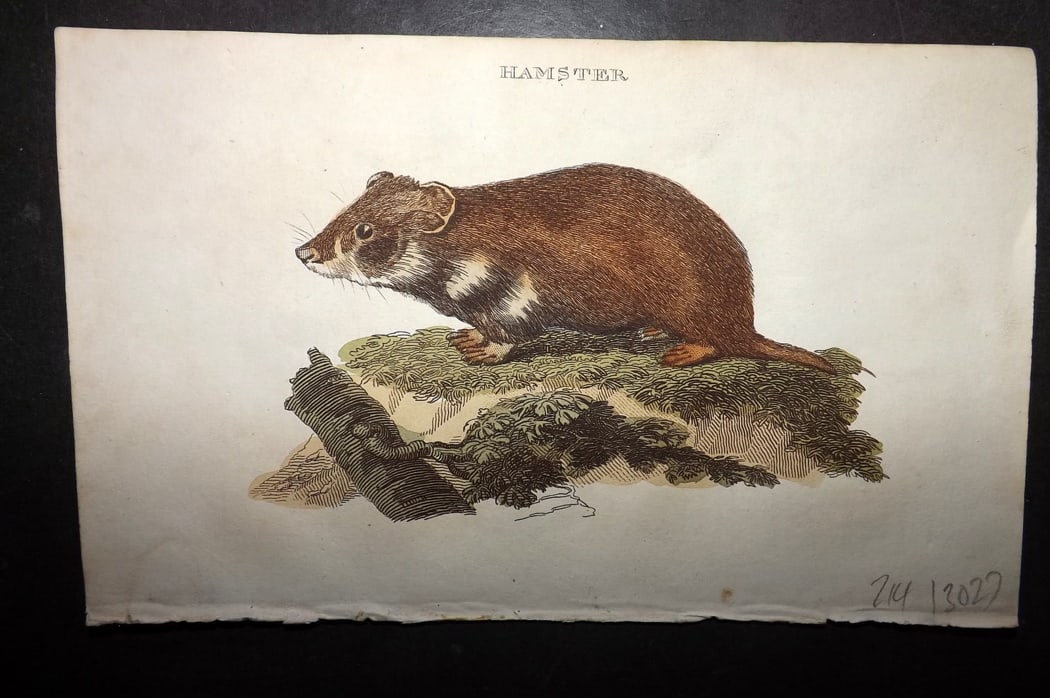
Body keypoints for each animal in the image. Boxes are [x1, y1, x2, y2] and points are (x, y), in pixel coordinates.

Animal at [295, 163, 834, 373]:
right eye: (344, 210)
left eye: (364, 230)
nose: (305, 252)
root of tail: (744, 318)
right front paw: (464, 336)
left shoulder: (514, 297)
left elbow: (508, 336)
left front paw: (481, 350)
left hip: (692, 309)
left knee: (716, 342)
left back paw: (680, 350)